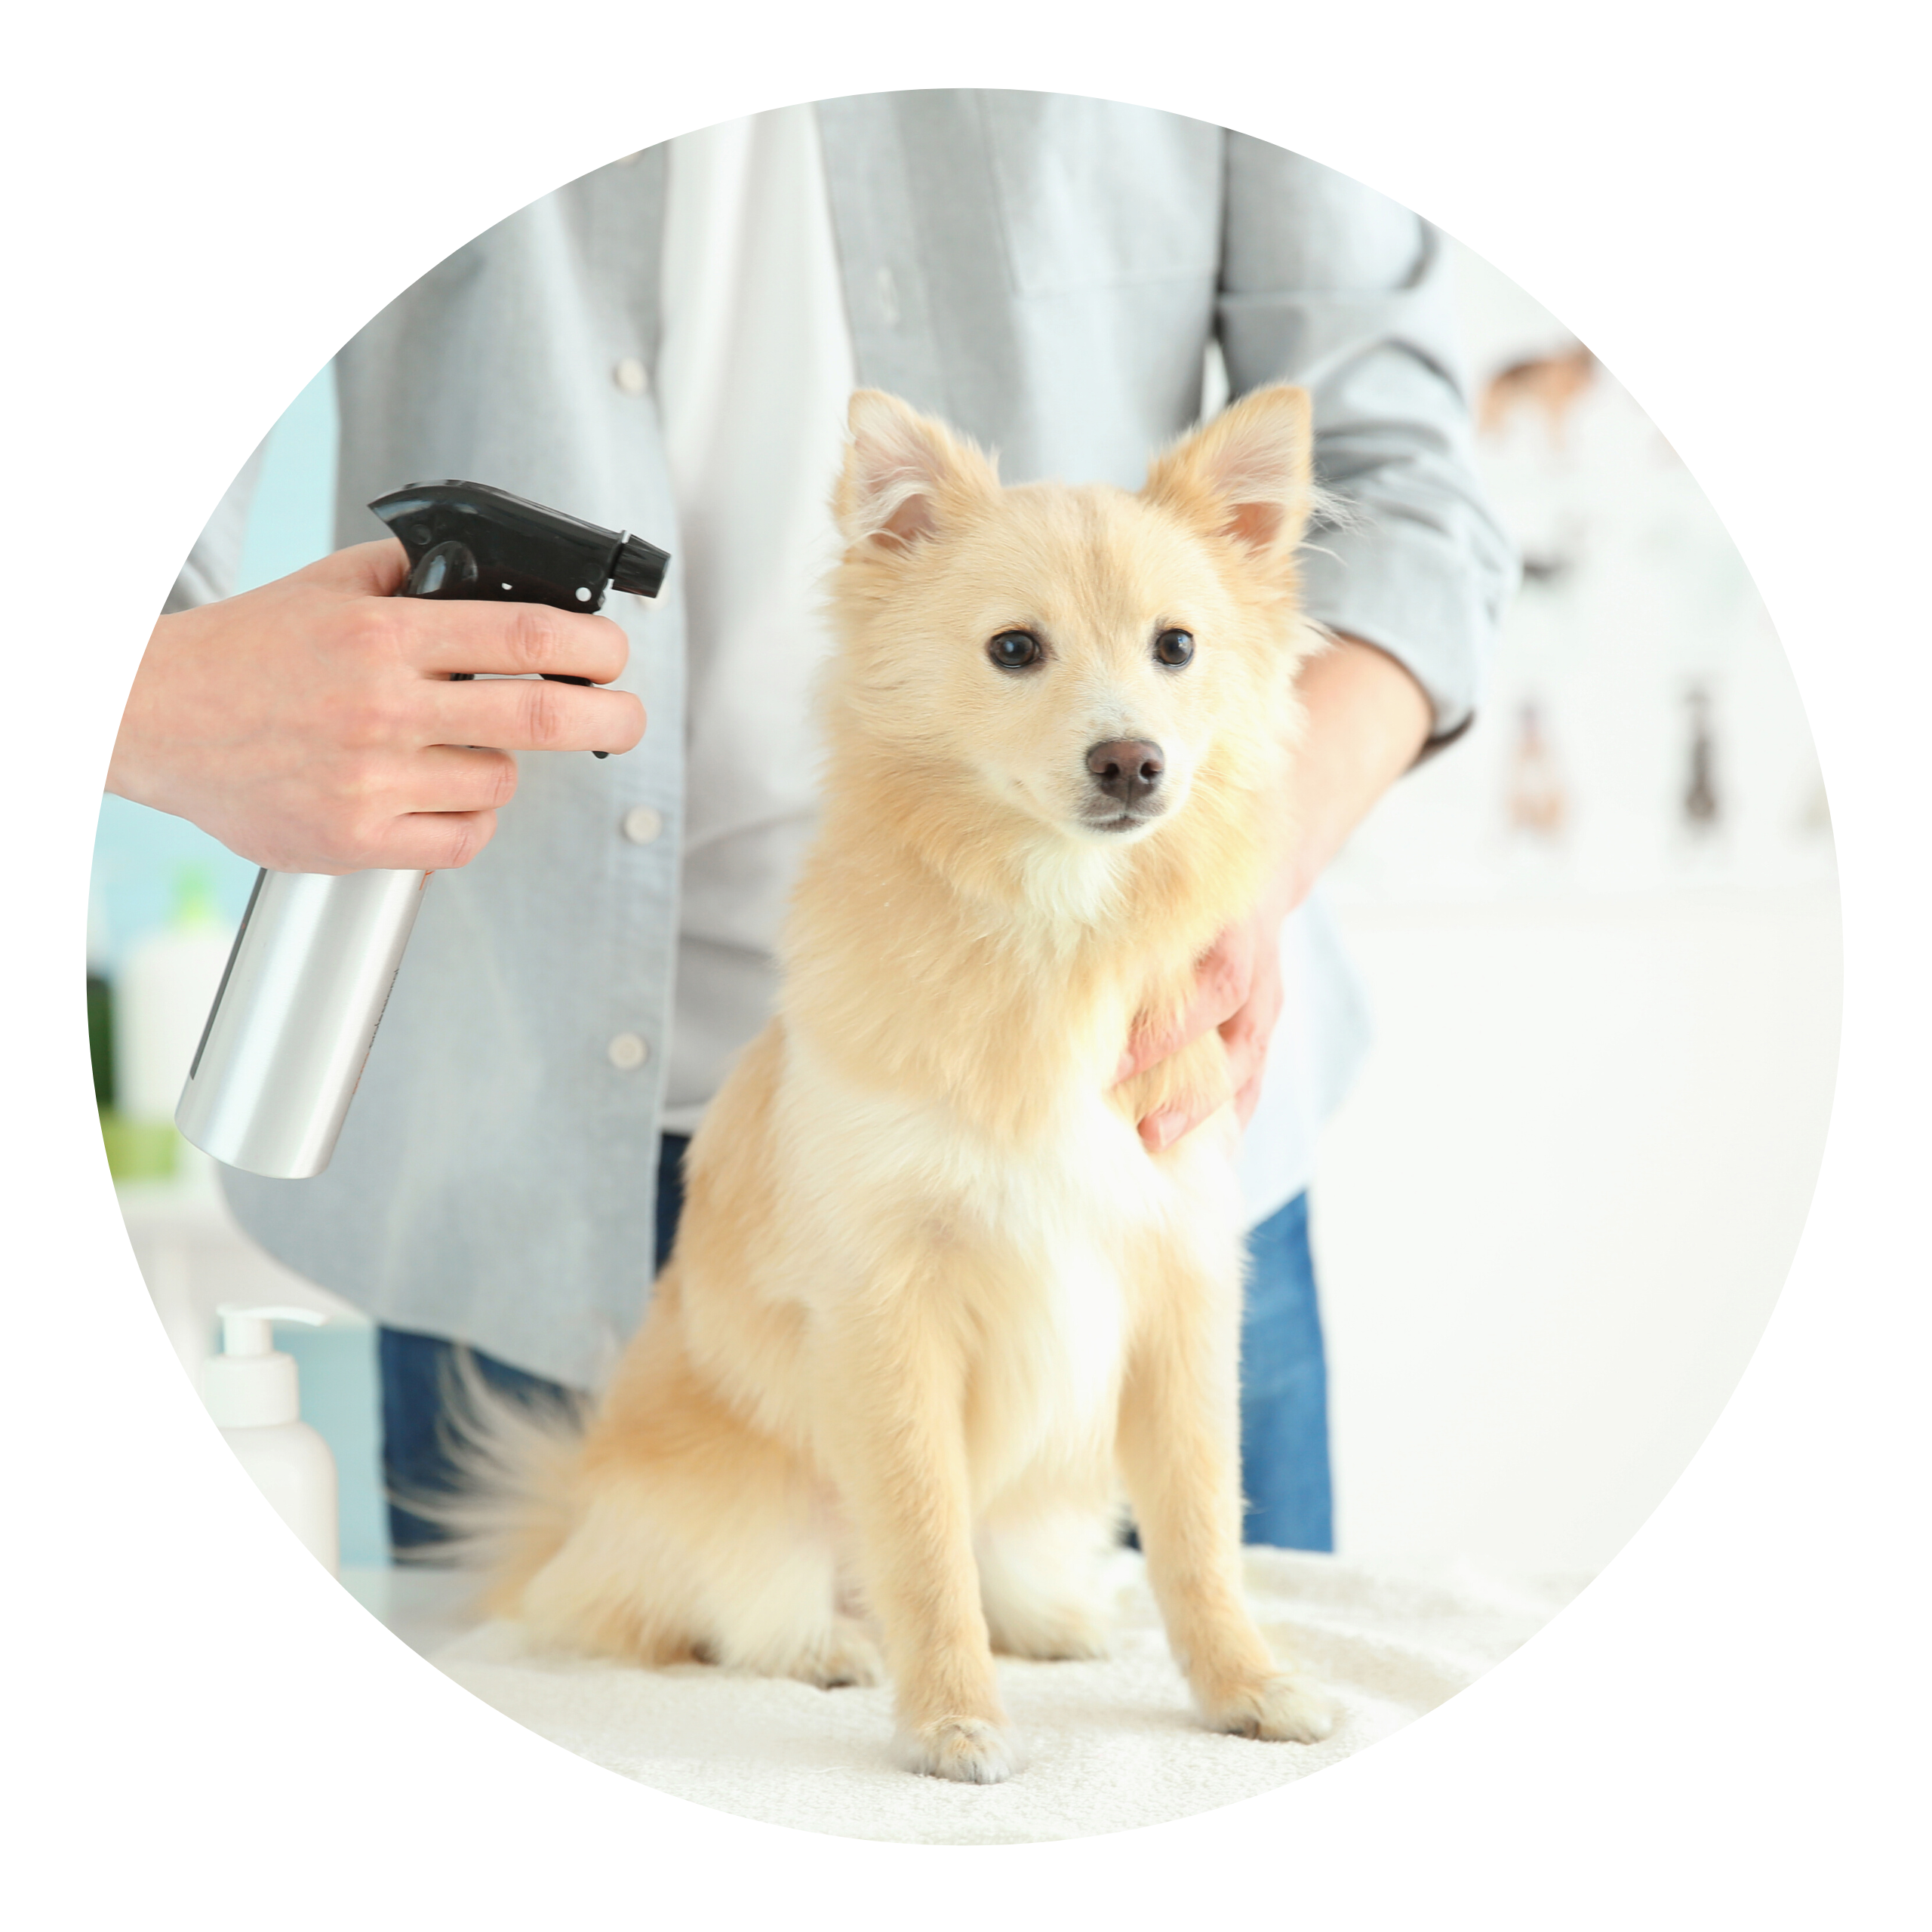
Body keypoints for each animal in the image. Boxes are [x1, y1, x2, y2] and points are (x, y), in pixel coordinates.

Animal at [450, 384, 1337, 1785]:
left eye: (1178, 647)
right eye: (1016, 650)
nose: (1132, 760)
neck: (1053, 929)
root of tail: (571, 1517)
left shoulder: (1178, 1286)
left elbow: (1202, 1530)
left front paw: (1243, 1687)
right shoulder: (891, 1309)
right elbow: (922, 1540)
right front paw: (953, 1718)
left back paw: (1047, 1623)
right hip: (744, 1510)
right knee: (714, 1616)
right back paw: (831, 1646)